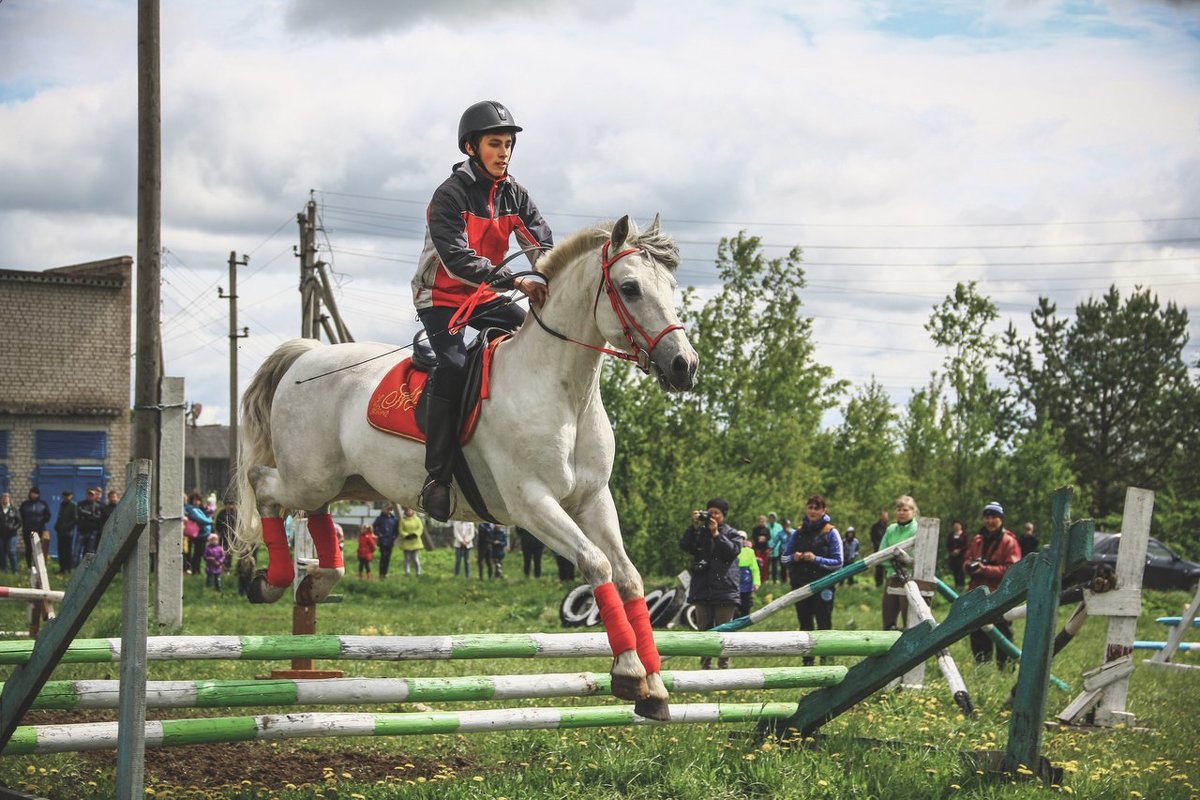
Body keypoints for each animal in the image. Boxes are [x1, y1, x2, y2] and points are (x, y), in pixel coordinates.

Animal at [235, 215, 700, 724]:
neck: (563, 394)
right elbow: (596, 563)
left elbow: (628, 575)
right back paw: (270, 580)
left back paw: (315, 582)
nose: (684, 365)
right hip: (307, 476)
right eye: (630, 288)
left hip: (342, 482)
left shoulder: (593, 500)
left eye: (671, 286)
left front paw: (654, 687)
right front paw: (630, 672)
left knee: (314, 513)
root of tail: (305, 354)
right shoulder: (532, 503)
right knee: (263, 487)